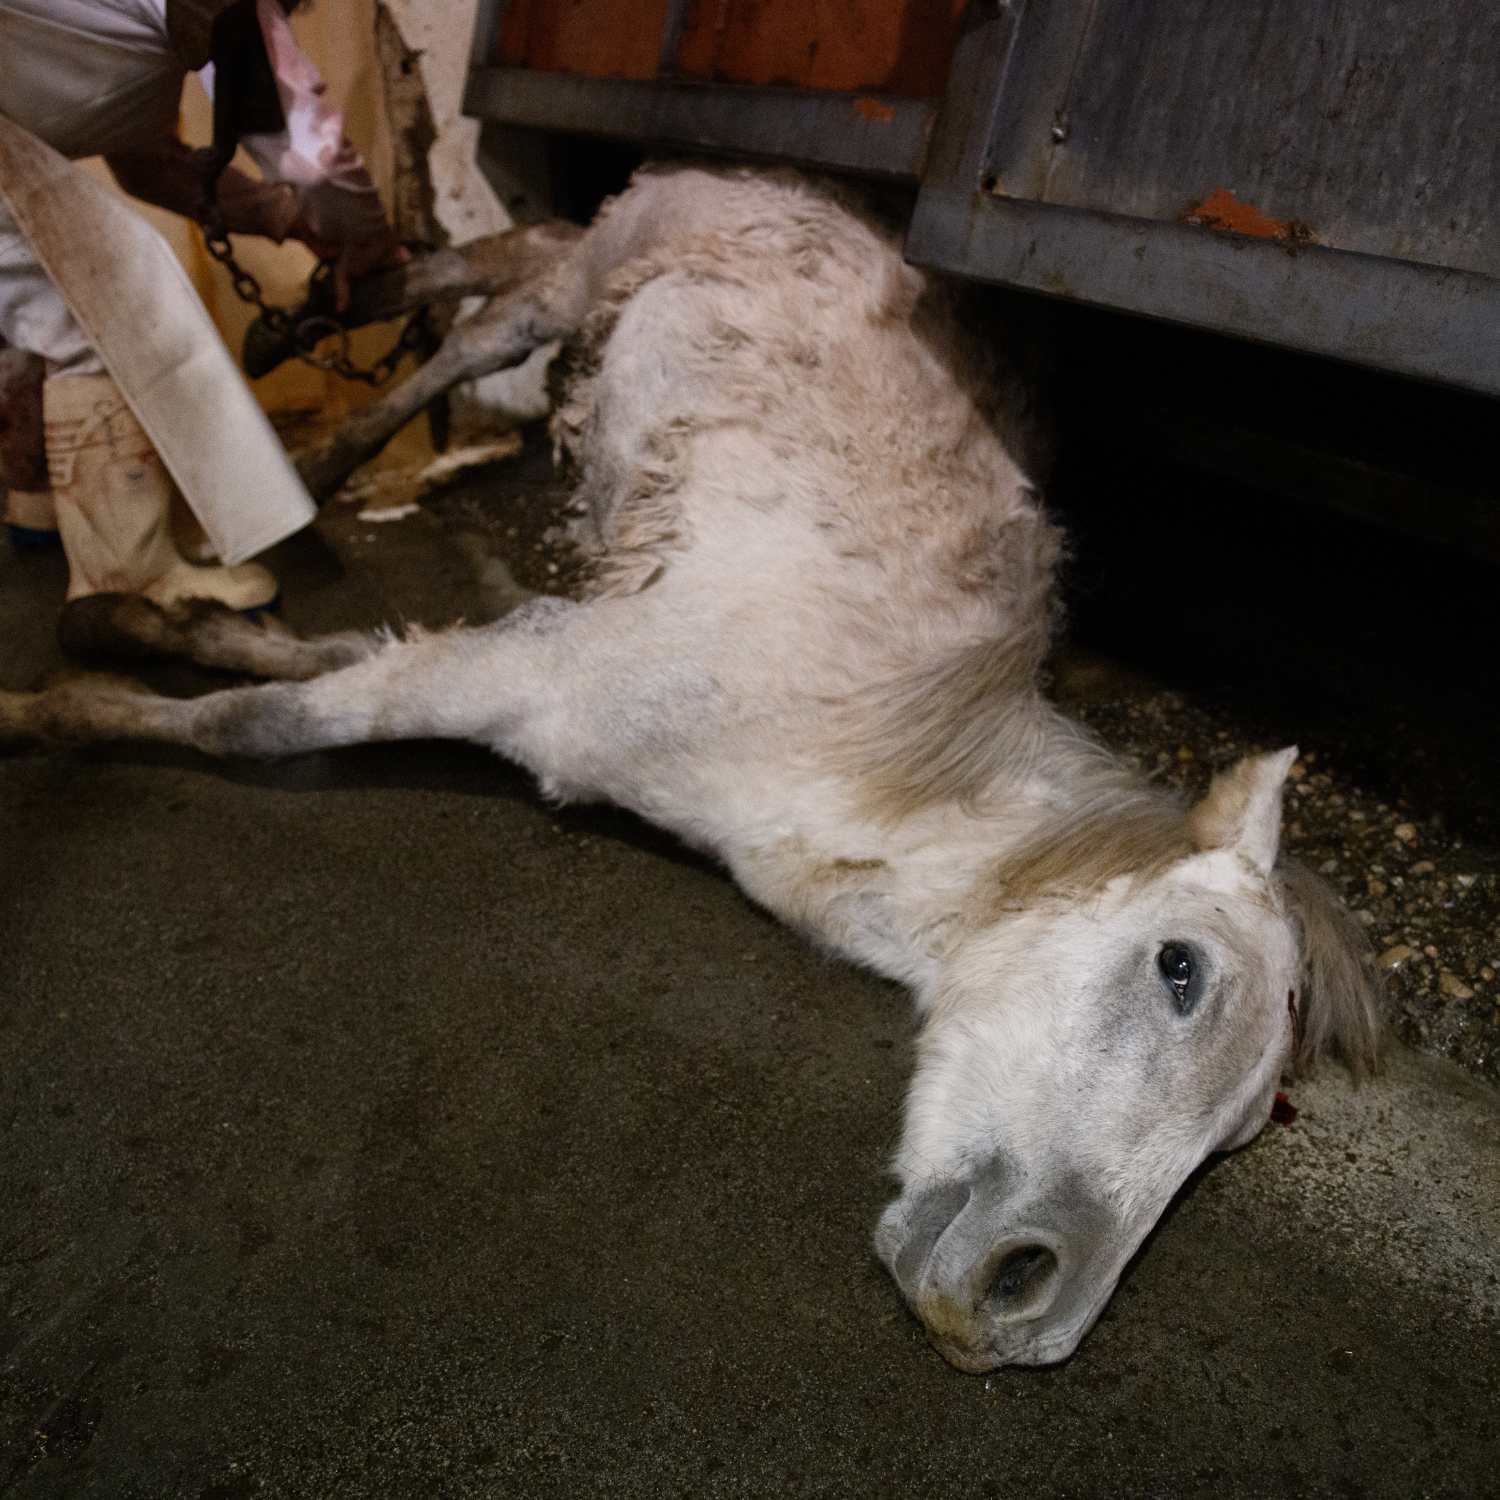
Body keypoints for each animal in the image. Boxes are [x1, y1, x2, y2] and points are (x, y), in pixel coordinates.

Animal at [2, 164, 1380, 1374]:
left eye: (1242, 1134)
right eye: (1180, 970)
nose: (1022, 1312)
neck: (848, 740)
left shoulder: (521, 653)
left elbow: (312, 657)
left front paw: (139, 621)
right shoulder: (535, 680)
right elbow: (255, 728)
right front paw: (50, 706)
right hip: (582, 286)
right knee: (483, 329)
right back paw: (327, 453)